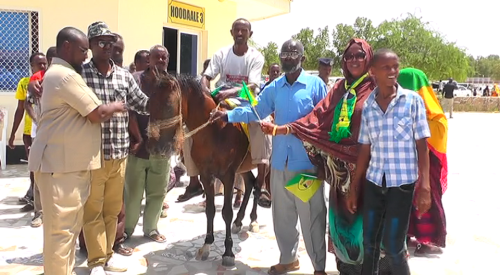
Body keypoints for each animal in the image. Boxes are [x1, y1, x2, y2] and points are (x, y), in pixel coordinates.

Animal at [145, 71, 262, 268]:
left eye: (168, 105)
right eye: (148, 105)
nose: (154, 147)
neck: (215, 131)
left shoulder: (228, 176)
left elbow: (226, 213)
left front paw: (228, 252)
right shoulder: (206, 175)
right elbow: (210, 210)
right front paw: (207, 245)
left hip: (263, 162)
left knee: (258, 187)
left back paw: (253, 220)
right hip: (243, 166)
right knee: (250, 183)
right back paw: (239, 221)